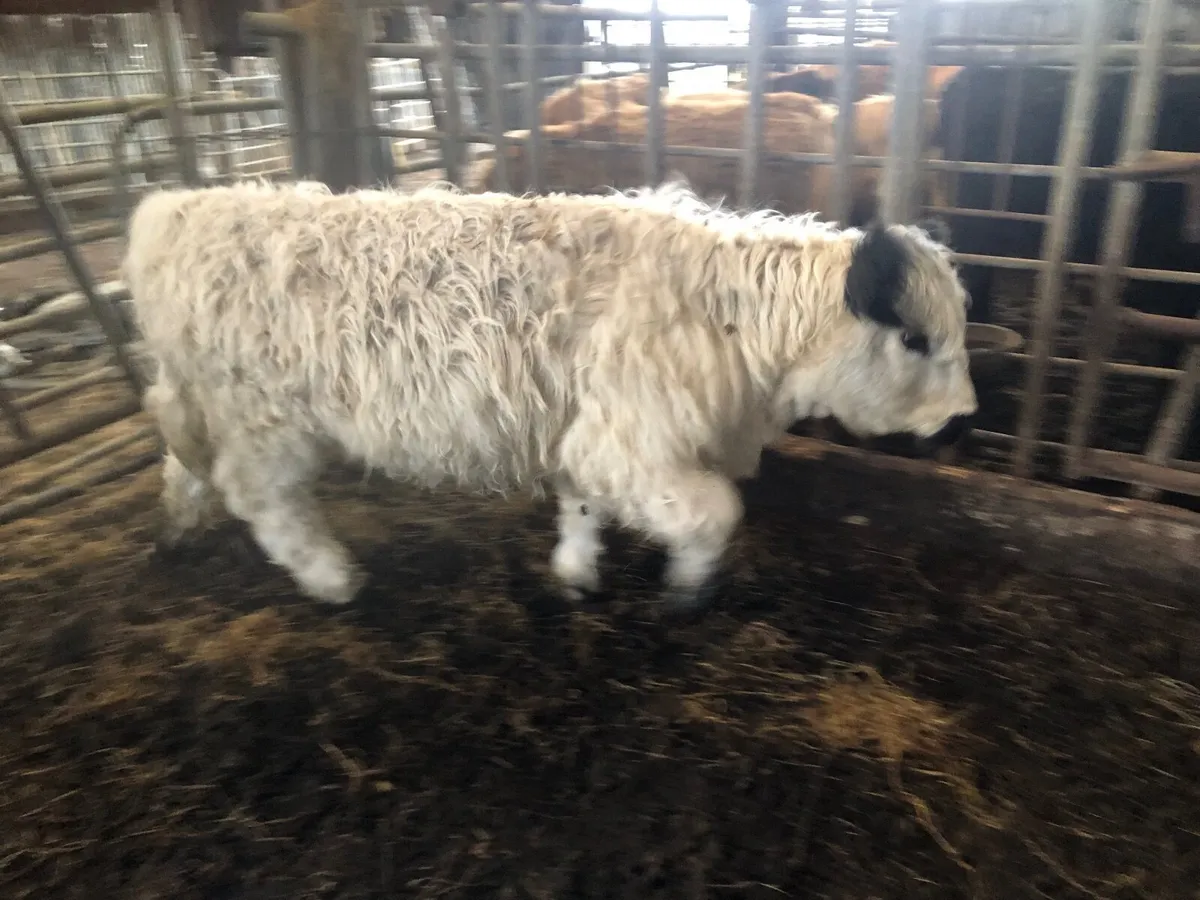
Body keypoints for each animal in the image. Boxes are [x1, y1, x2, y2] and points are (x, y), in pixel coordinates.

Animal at [123, 180, 977, 615]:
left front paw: (574, 570)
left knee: (183, 456)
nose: (961, 416)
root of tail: (174, 209)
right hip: (263, 418)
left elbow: (580, 503)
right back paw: (330, 577)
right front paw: (687, 589)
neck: (728, 316)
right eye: (914, 339)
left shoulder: (585, 431)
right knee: (261, 496)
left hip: (204, 399)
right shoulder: (630, 439)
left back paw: (174, 529)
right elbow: (713, 514)